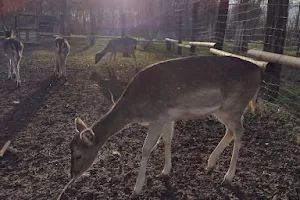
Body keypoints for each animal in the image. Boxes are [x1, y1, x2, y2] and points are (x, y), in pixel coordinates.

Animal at [66, 55, 262, 199]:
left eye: (78, 154)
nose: (72, 174)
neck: (135, 109)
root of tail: (260, 69)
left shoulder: (158, 117)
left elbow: (146, 148)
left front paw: (136, 190)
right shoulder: (168, 117)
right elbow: (167, 140)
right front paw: (165, 171)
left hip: (234, 105)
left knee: (239, 132)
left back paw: (227, 177)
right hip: (222, 110)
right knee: (230, 131)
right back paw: (210, 164)